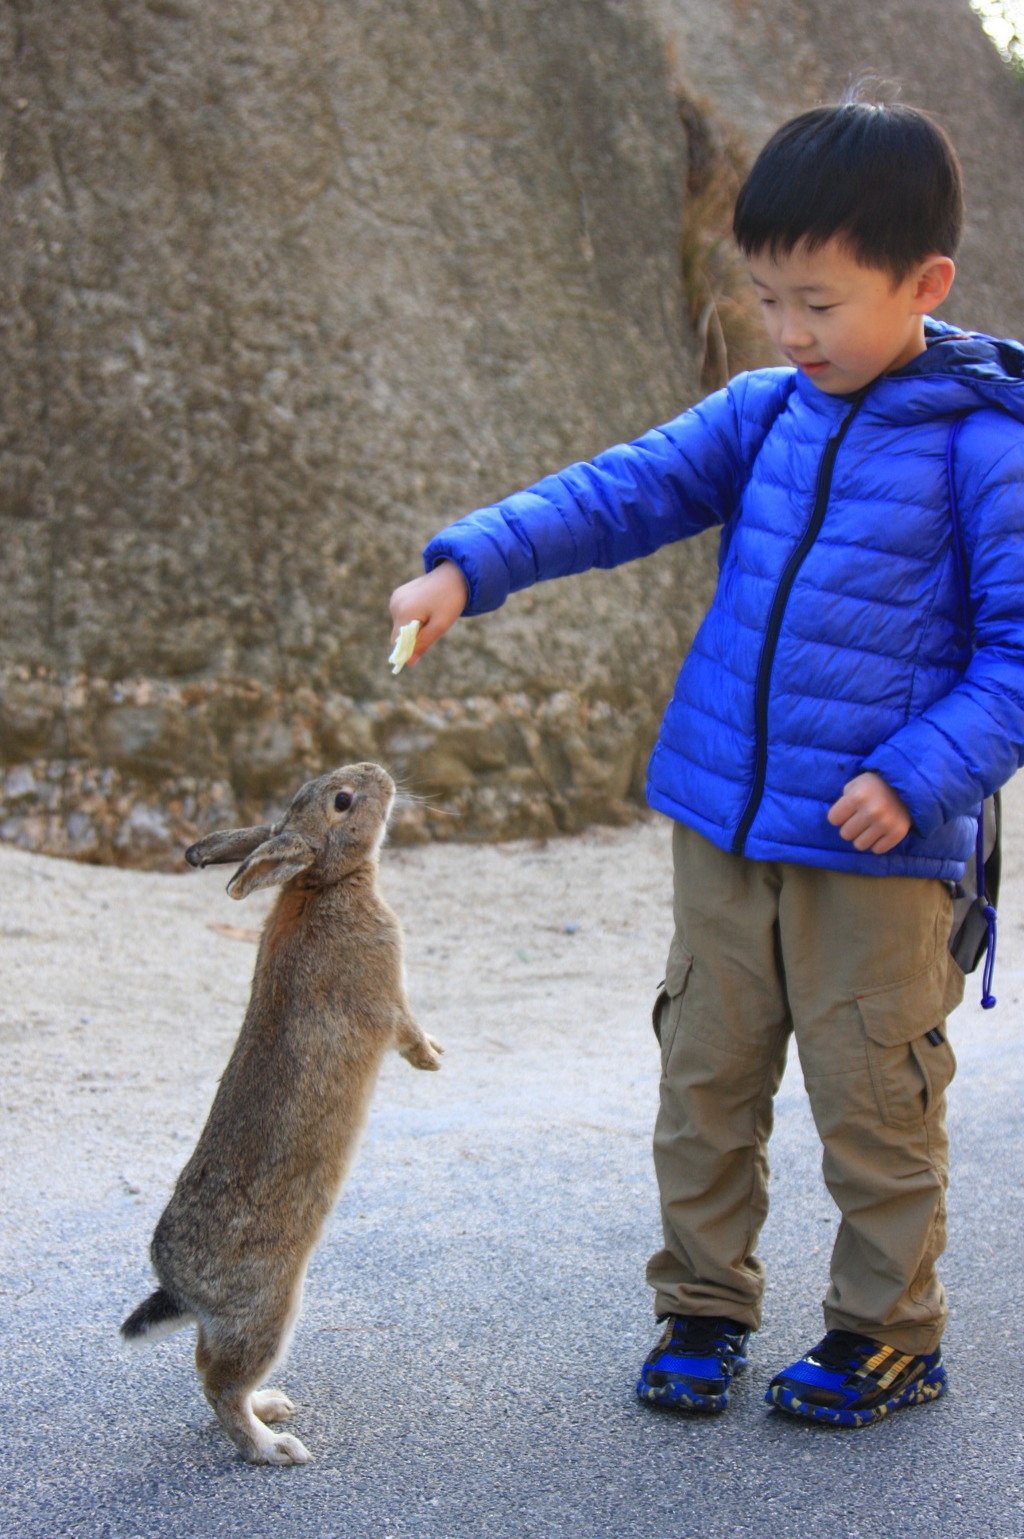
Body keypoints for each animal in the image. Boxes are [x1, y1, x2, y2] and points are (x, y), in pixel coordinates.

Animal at [120, 763, 440, 1458]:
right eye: (343, 801)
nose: (378, 772)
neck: (322, 881)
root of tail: (179, 1287)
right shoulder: (386, 996)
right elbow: (404, 1028)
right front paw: (432, 1059)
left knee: (208, 1370)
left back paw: (272, 1408)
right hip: (268, 1307)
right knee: (220, 1383)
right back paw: (273, 1446)